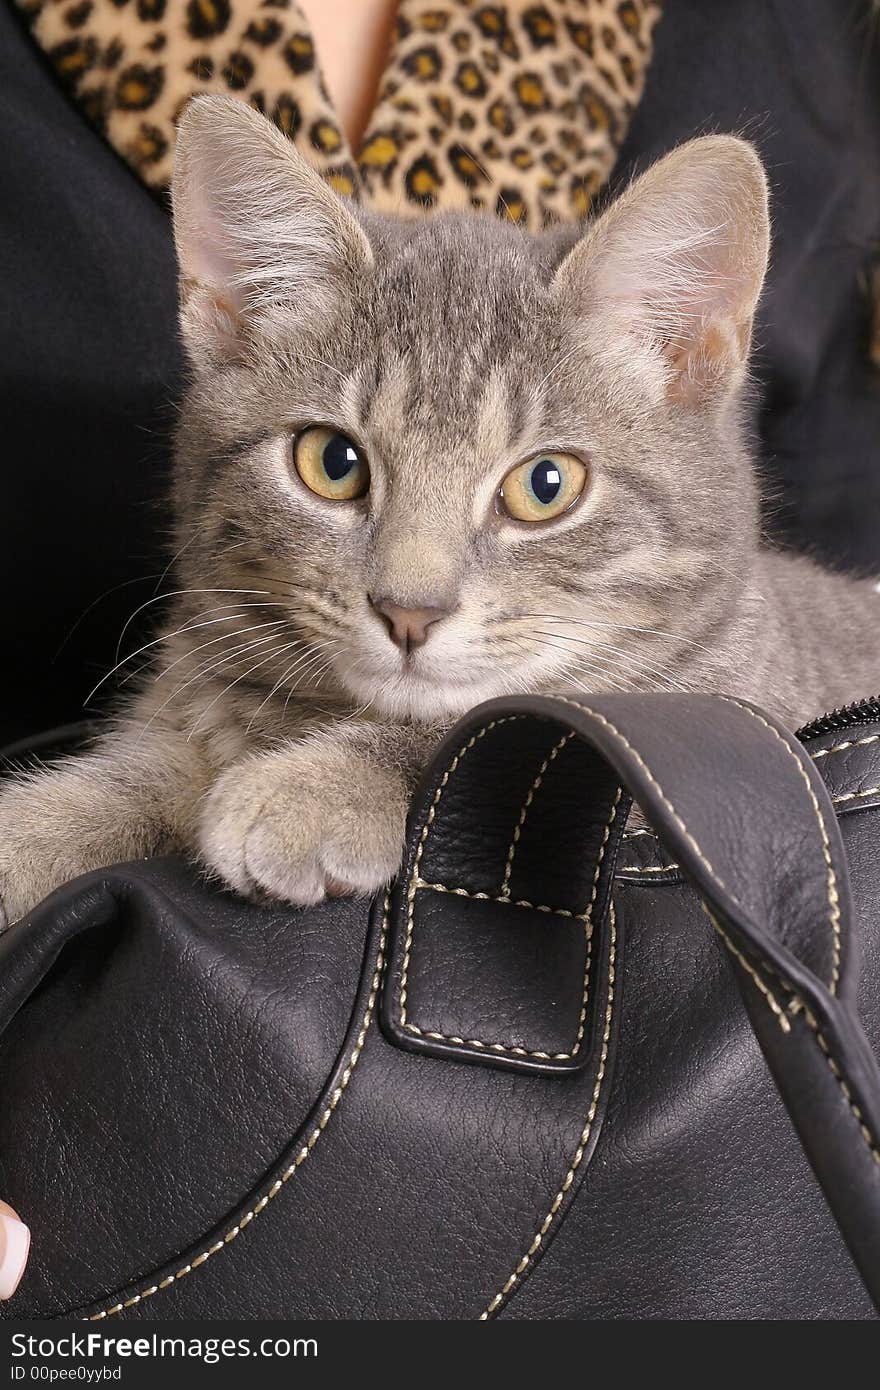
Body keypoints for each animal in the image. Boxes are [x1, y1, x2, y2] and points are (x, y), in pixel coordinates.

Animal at [1, 95, 878, 922]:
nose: (408, 612)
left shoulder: (713, 731)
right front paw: (30, 834)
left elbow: (493, 734)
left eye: (546, 484)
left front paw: (315, 787)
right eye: (333, 463)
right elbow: (137, 776)